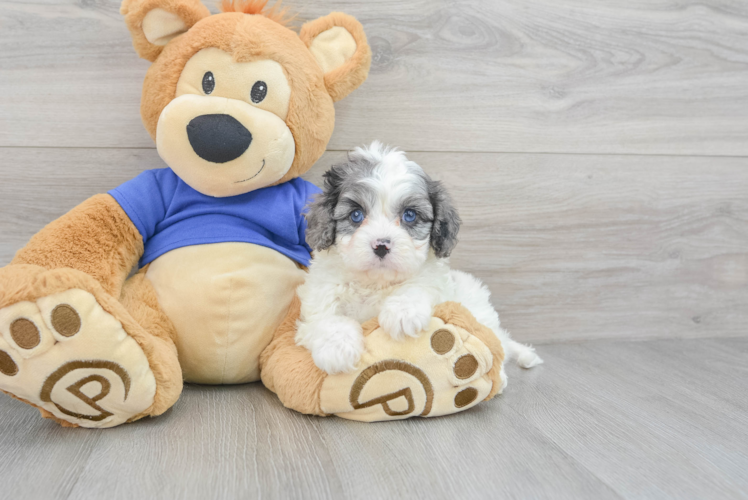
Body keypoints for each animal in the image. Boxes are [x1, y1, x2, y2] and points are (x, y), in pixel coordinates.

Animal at [296, 144, 540, 382]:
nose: (381, 245)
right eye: (356, 215)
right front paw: (337, 348)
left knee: (498, 341)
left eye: (410, 215)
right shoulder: (320, 294)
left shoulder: (436, 282)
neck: (376, 283)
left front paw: (403, 313)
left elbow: (419, 285)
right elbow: (325, 318)